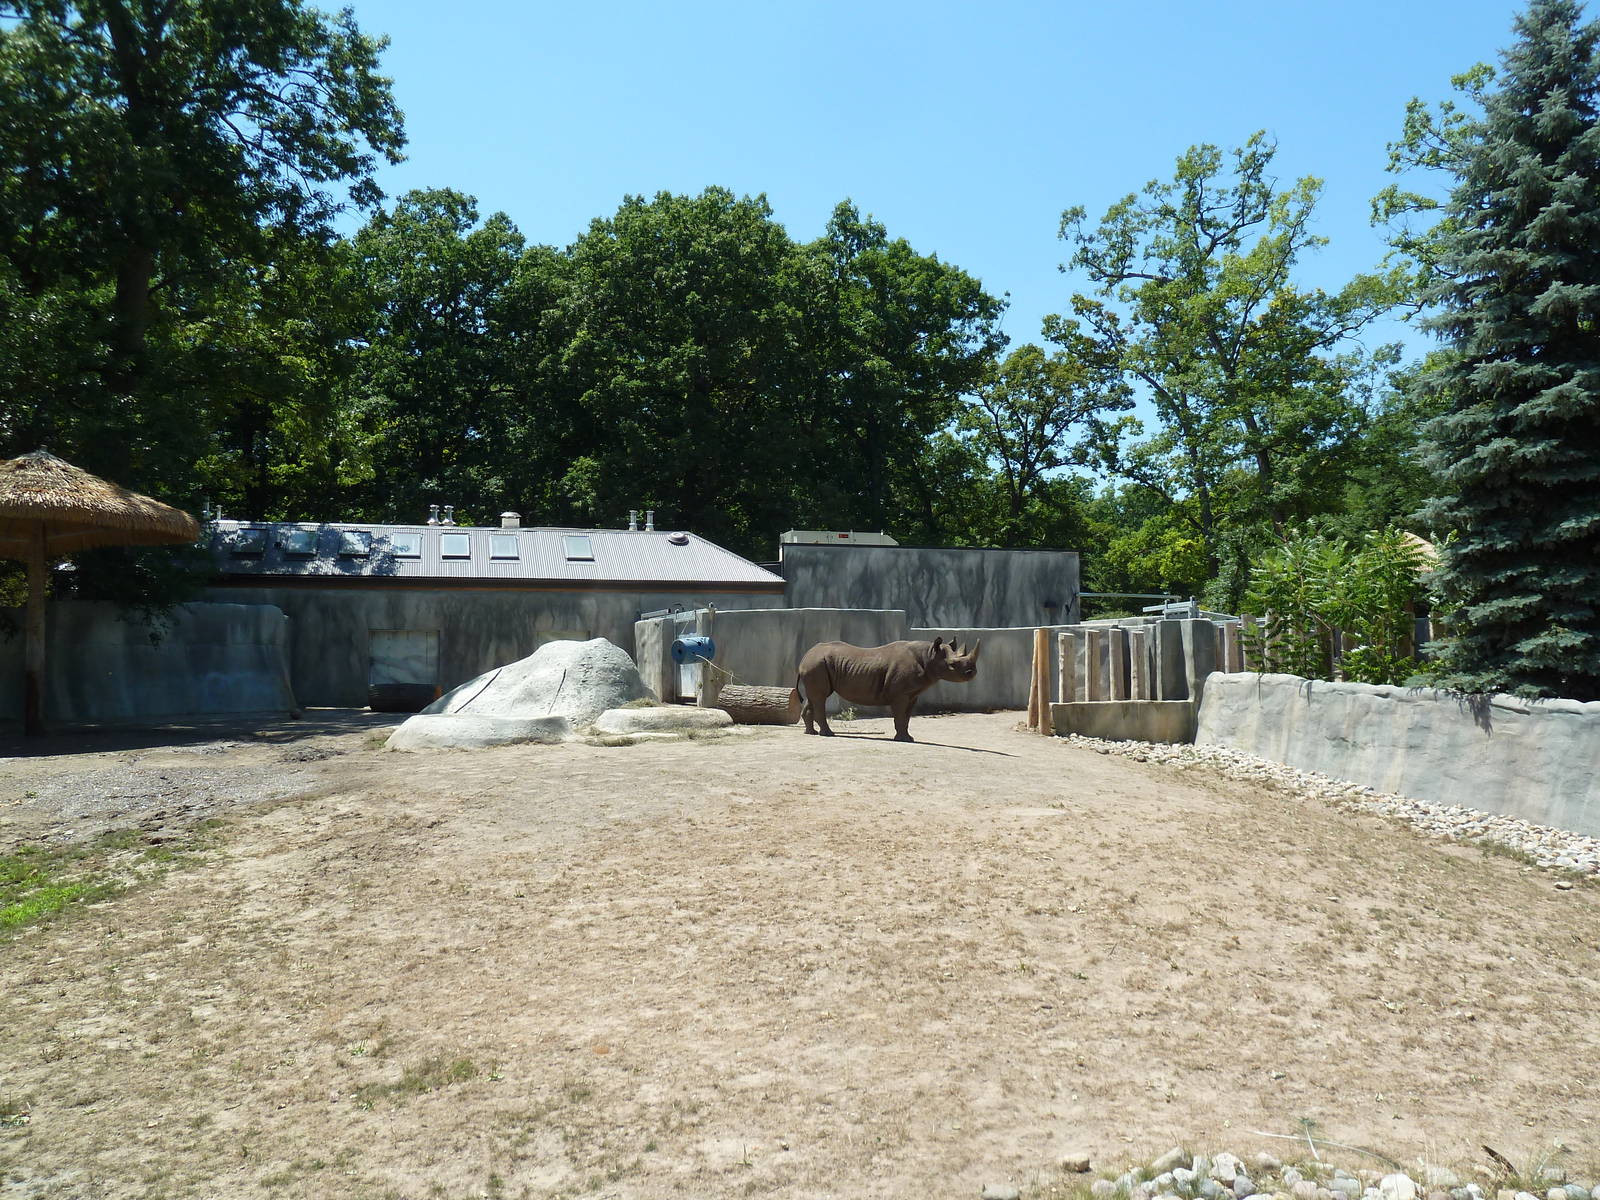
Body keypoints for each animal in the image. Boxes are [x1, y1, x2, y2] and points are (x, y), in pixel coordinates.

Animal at [796, 636, 981, 743]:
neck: (929, 656)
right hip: (817, 664)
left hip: (817, 664)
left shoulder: (912, 693)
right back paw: (828, 734)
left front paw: (909, 738)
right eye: (952, 665)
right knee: (820, 697)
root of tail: (805, 656)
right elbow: (899, 715)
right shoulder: (900, 694)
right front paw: (902, 740)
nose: (972, 673)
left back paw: (811, 733)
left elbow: (907, 717)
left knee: (813, 697)